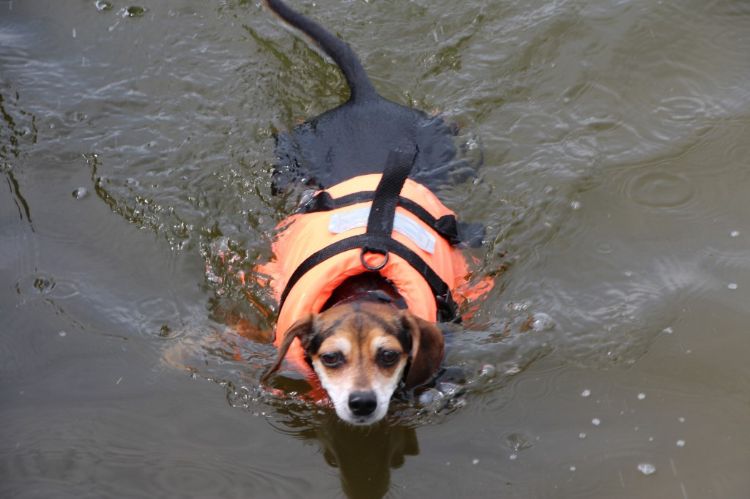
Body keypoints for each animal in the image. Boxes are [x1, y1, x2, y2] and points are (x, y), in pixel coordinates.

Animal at [258, 1, 494, 428]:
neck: (364, 286)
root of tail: (364, 100)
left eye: (388, 355)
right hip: (288, 161)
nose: (362, 403)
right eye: (331, 358)